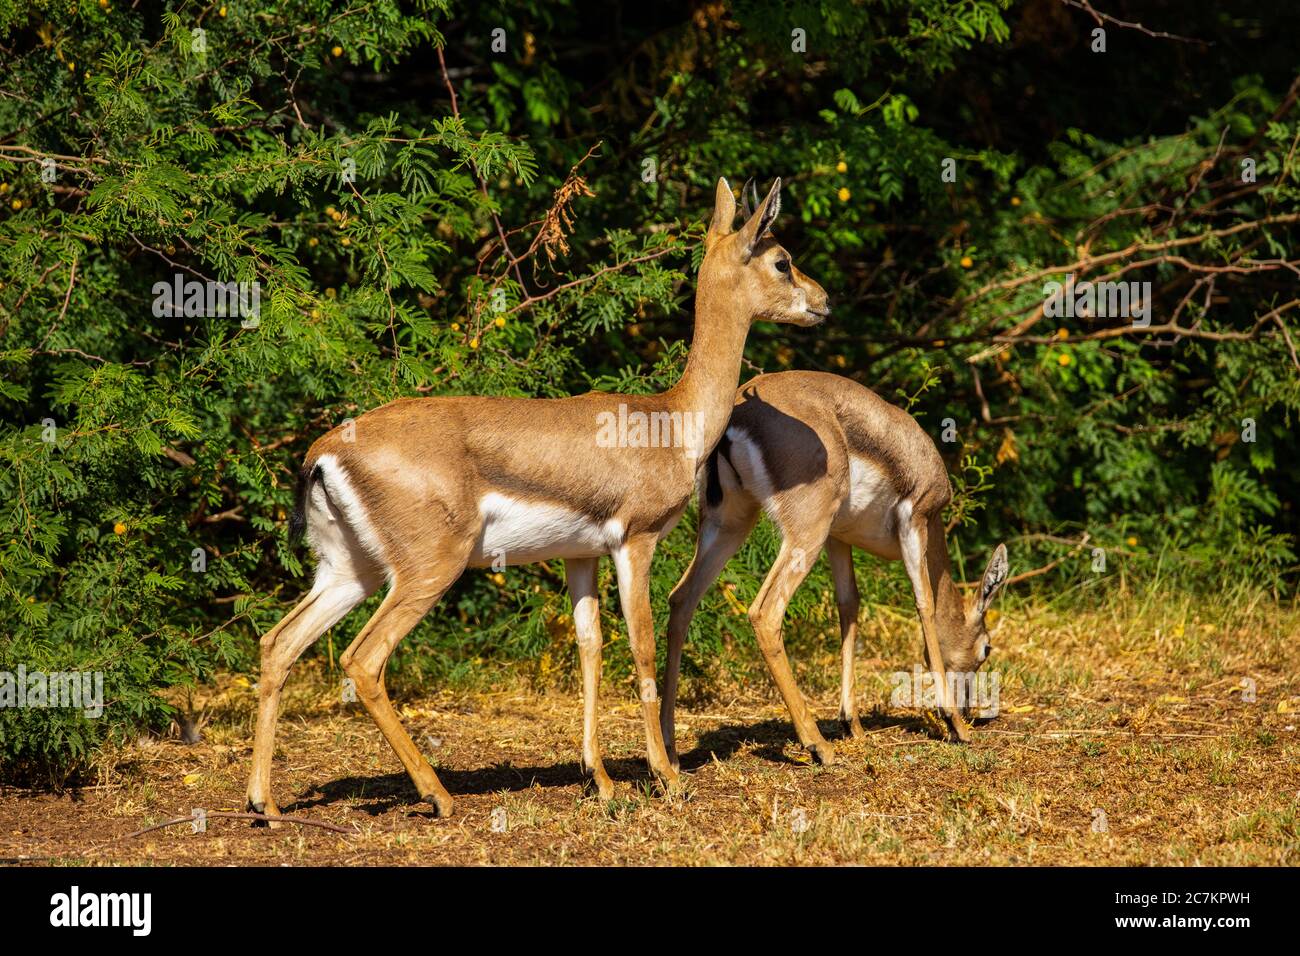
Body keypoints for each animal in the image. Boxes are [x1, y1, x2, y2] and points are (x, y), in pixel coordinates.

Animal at [246, 176, 830, 820]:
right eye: (782, 260)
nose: (823, 301)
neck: (672, 421)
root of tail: (324, 451)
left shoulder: (580, 555)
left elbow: (590, 648)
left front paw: (600, 779)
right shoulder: (637, 542)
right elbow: (642, 647)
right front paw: (667, 778)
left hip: (352, 571)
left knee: (278, 643)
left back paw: (264, 804)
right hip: (427, 570)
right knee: (362, 659)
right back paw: (439, 796)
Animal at [660, 370, 1009, 768]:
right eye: (987, 648)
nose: (968, 709)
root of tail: (739, 411)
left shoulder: (839, 538)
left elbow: (849, 606)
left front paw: (851, 724)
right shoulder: (915, 522)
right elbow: (925, 605)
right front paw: (954, 725)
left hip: (731, 523)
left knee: (681, 599)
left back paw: (669, 750)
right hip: (802, 533)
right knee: (765, 612)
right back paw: (817, 746)